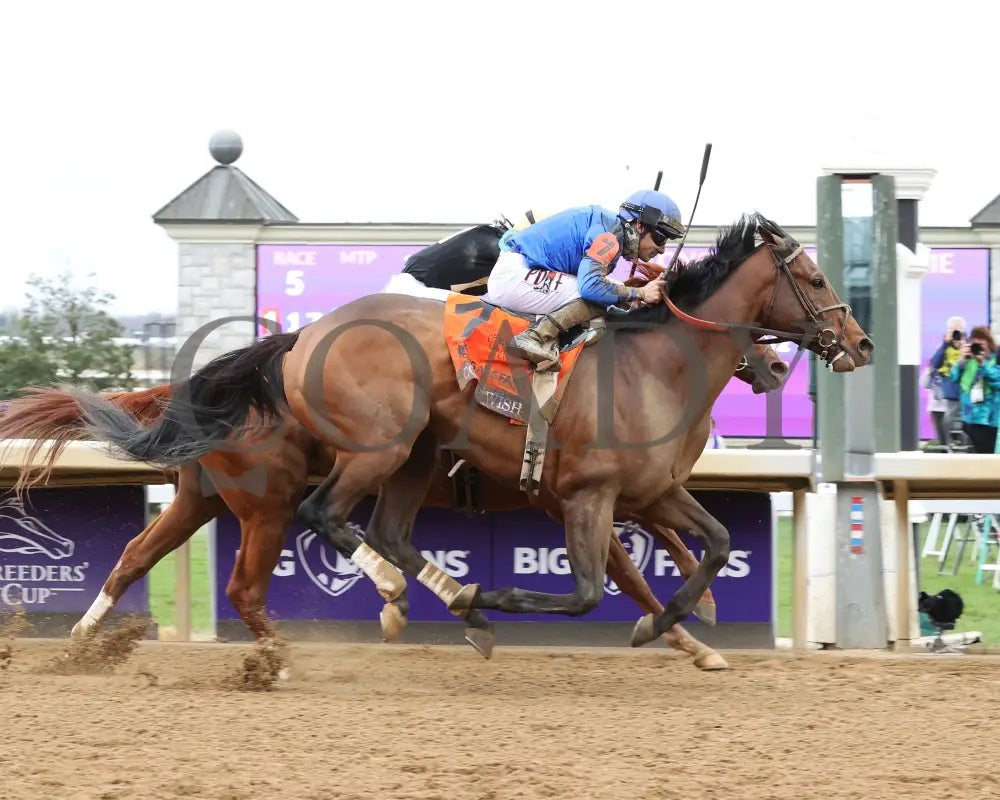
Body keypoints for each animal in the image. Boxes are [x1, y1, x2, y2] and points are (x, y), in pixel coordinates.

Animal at [0, 342, 787, 669]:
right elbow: (628, 571)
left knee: (135, 555)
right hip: (266, 504)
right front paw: (689, 634)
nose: (777, 365)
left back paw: (82, 641)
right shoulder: (577, 496)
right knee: (247, 584)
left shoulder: (616, 490)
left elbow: (664, 541)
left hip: (201, 497)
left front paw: (697, 613)